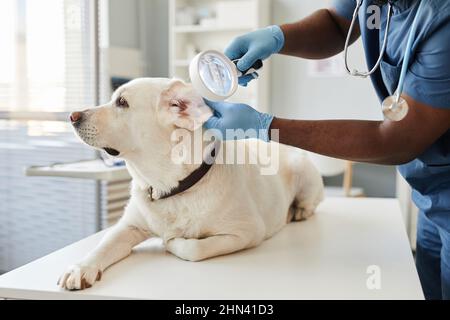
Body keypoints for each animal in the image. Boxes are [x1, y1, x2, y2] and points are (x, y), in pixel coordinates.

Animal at [59, 77, 324, 290]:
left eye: (122, 102)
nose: (72, 116)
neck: (171, 186)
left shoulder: (247, 231)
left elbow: (195, 248)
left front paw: (172, 242)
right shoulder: (128, 226)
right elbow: (103, 245)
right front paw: (80, 268)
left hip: (304, 172)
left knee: (311, 202)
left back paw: (298, 211)